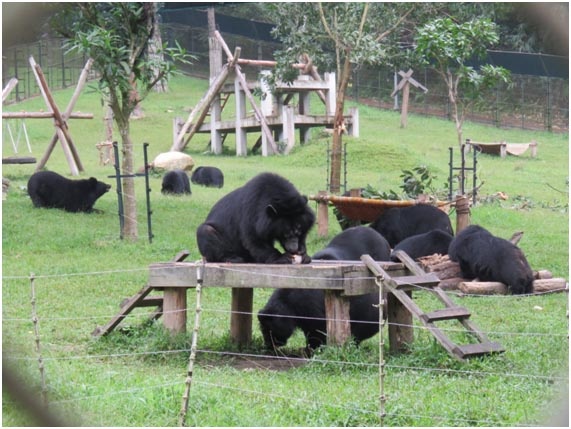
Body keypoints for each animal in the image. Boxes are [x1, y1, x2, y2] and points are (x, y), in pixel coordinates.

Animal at [258, 226, 388, 350]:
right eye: (263, 330)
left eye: (270, 330)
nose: (268, 345)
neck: (291, 304)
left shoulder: (313, 307)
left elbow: (318, 329)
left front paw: (314, 348)